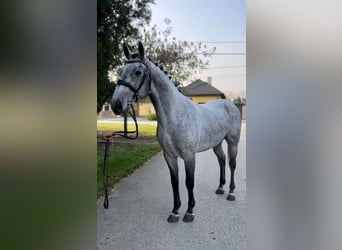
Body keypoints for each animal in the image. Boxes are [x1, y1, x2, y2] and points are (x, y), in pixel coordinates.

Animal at [112, 42, 240, 224]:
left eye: (137, 72)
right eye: (121, 71)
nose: (116, 104)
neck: (174, 114)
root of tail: (229, 104)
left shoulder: (189, 156)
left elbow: (189, 182)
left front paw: (190, 211)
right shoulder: (169, 156)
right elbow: (175, 182)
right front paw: (175, 211)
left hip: (233, 142)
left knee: (232, 164)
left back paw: (231, 192)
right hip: (216, 143)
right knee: (221, 160)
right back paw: (221, 188)